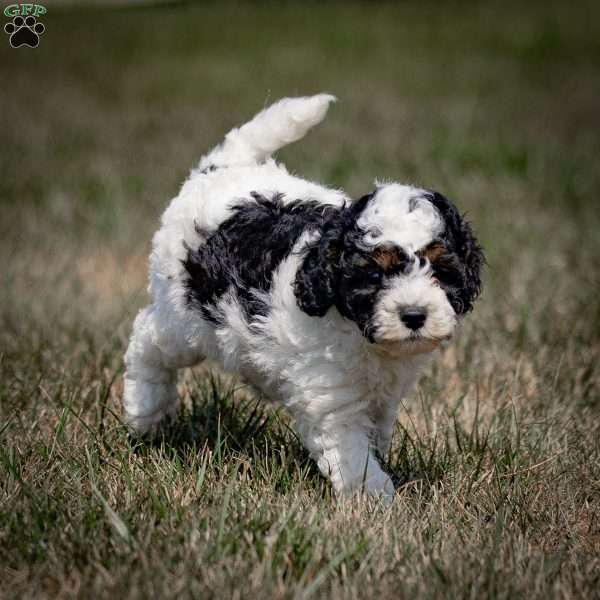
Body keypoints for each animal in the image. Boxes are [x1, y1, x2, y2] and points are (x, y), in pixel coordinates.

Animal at [123, 94, 482, 504]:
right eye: (375, 275)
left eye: (441, 271)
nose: (414, 314)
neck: (358, 332)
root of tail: (220, 169)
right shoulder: (332, 396)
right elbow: (355, 457)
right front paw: (377, 502)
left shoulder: (382, 397)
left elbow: (375, 434)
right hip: (183, 317)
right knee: (147, 341)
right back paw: (144, 412)